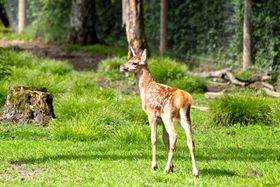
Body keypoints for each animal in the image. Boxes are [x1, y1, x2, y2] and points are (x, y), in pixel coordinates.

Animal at [120, 48, 199, 177]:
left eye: (134, 63)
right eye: (129, 59)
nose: (122, 66)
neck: (146, 88)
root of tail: (183, 97)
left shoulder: (151, 114)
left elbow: (154, 138)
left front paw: (154, 166)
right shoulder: (160, 117)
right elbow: (164, 139)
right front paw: (172, 167)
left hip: (168, 115)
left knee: (174, 135)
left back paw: (165, 169)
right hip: (185, 117)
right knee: (190, 141)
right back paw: (195, 172)